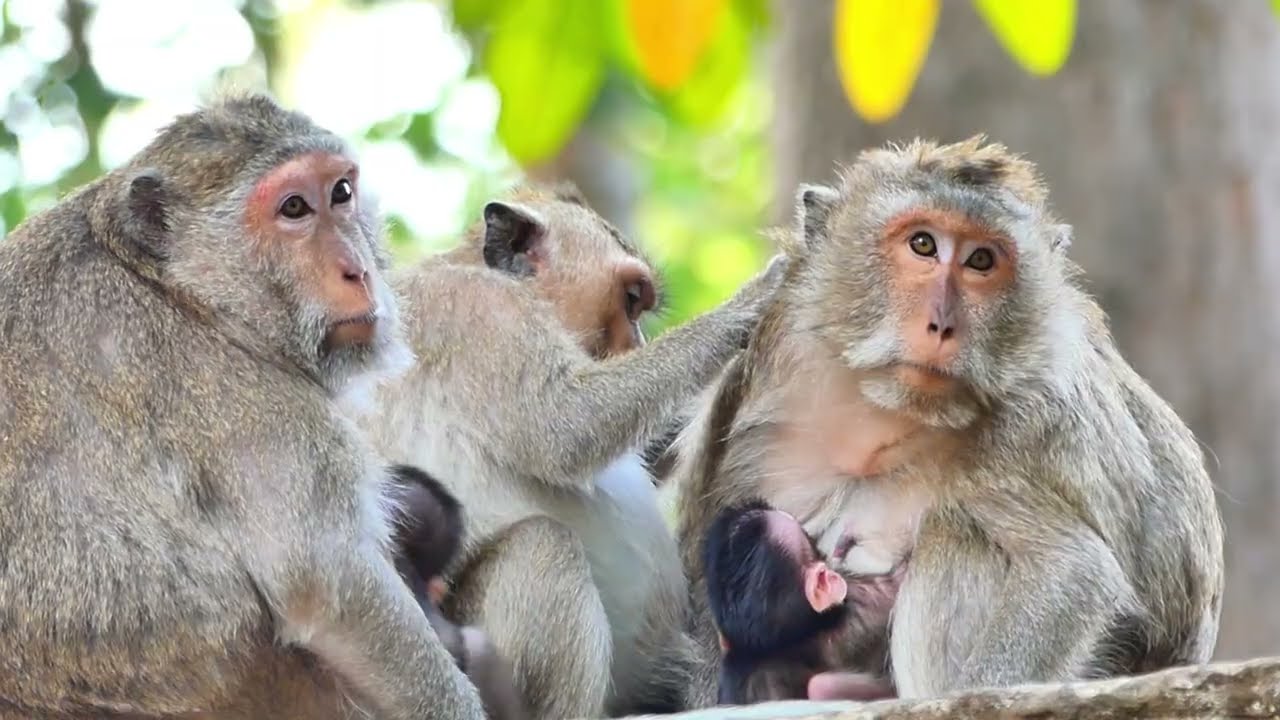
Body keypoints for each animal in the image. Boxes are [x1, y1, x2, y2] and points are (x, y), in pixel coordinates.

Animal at [0, 93, 488, 720]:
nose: (358, 271)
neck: (176, 289)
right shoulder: (236, 391)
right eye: (294, 208)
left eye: (341, 193)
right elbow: (332, 588)